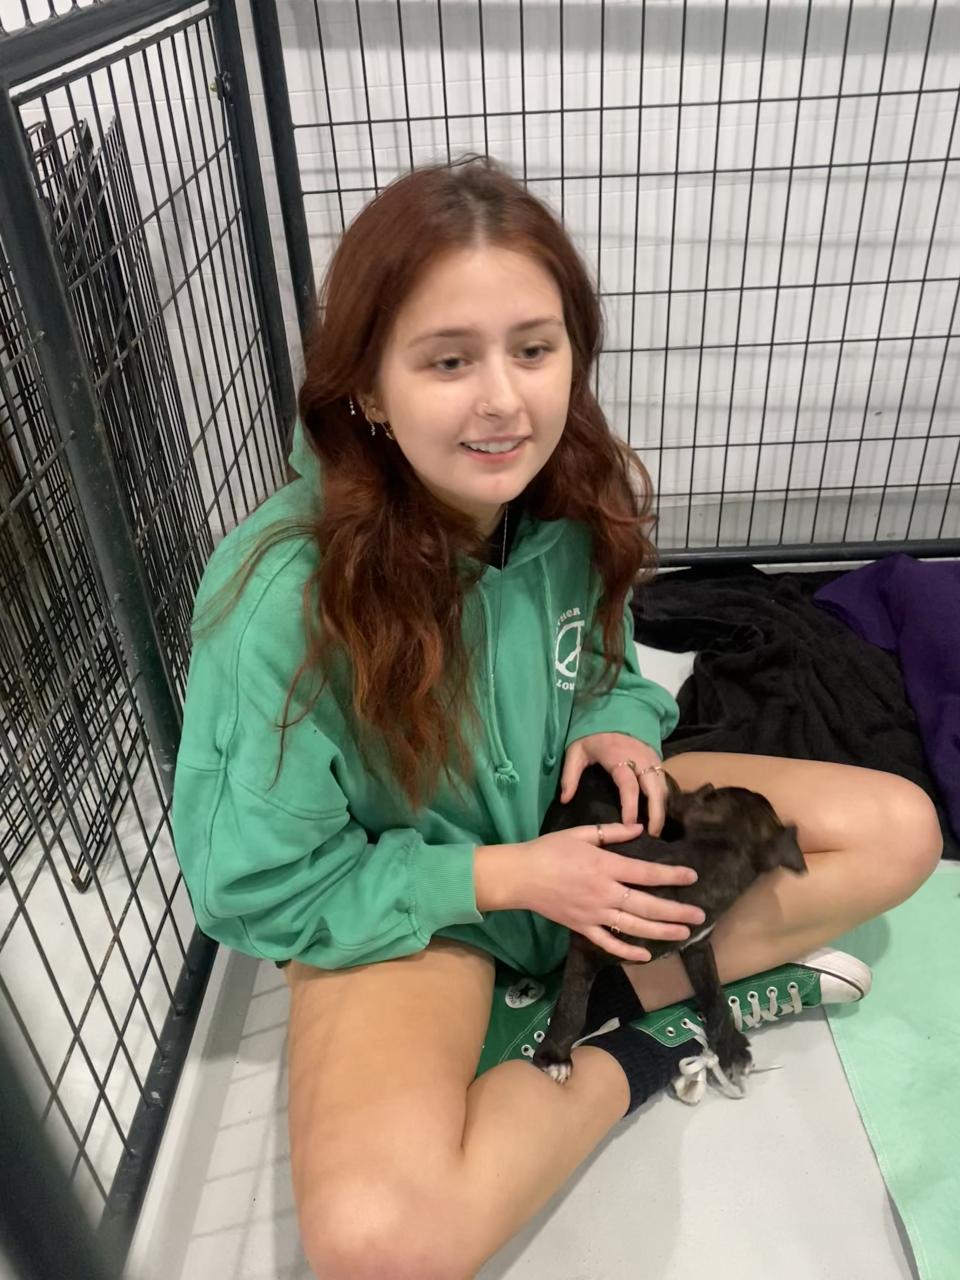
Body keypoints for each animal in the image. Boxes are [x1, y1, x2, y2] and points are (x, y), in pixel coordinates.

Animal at [531, 763, 807, 1096]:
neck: (705, 863)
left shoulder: (697, 946)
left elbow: (714, 993)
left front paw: (730, 1048)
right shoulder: (587, 946)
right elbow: (573, 1009)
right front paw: (555, 1058)